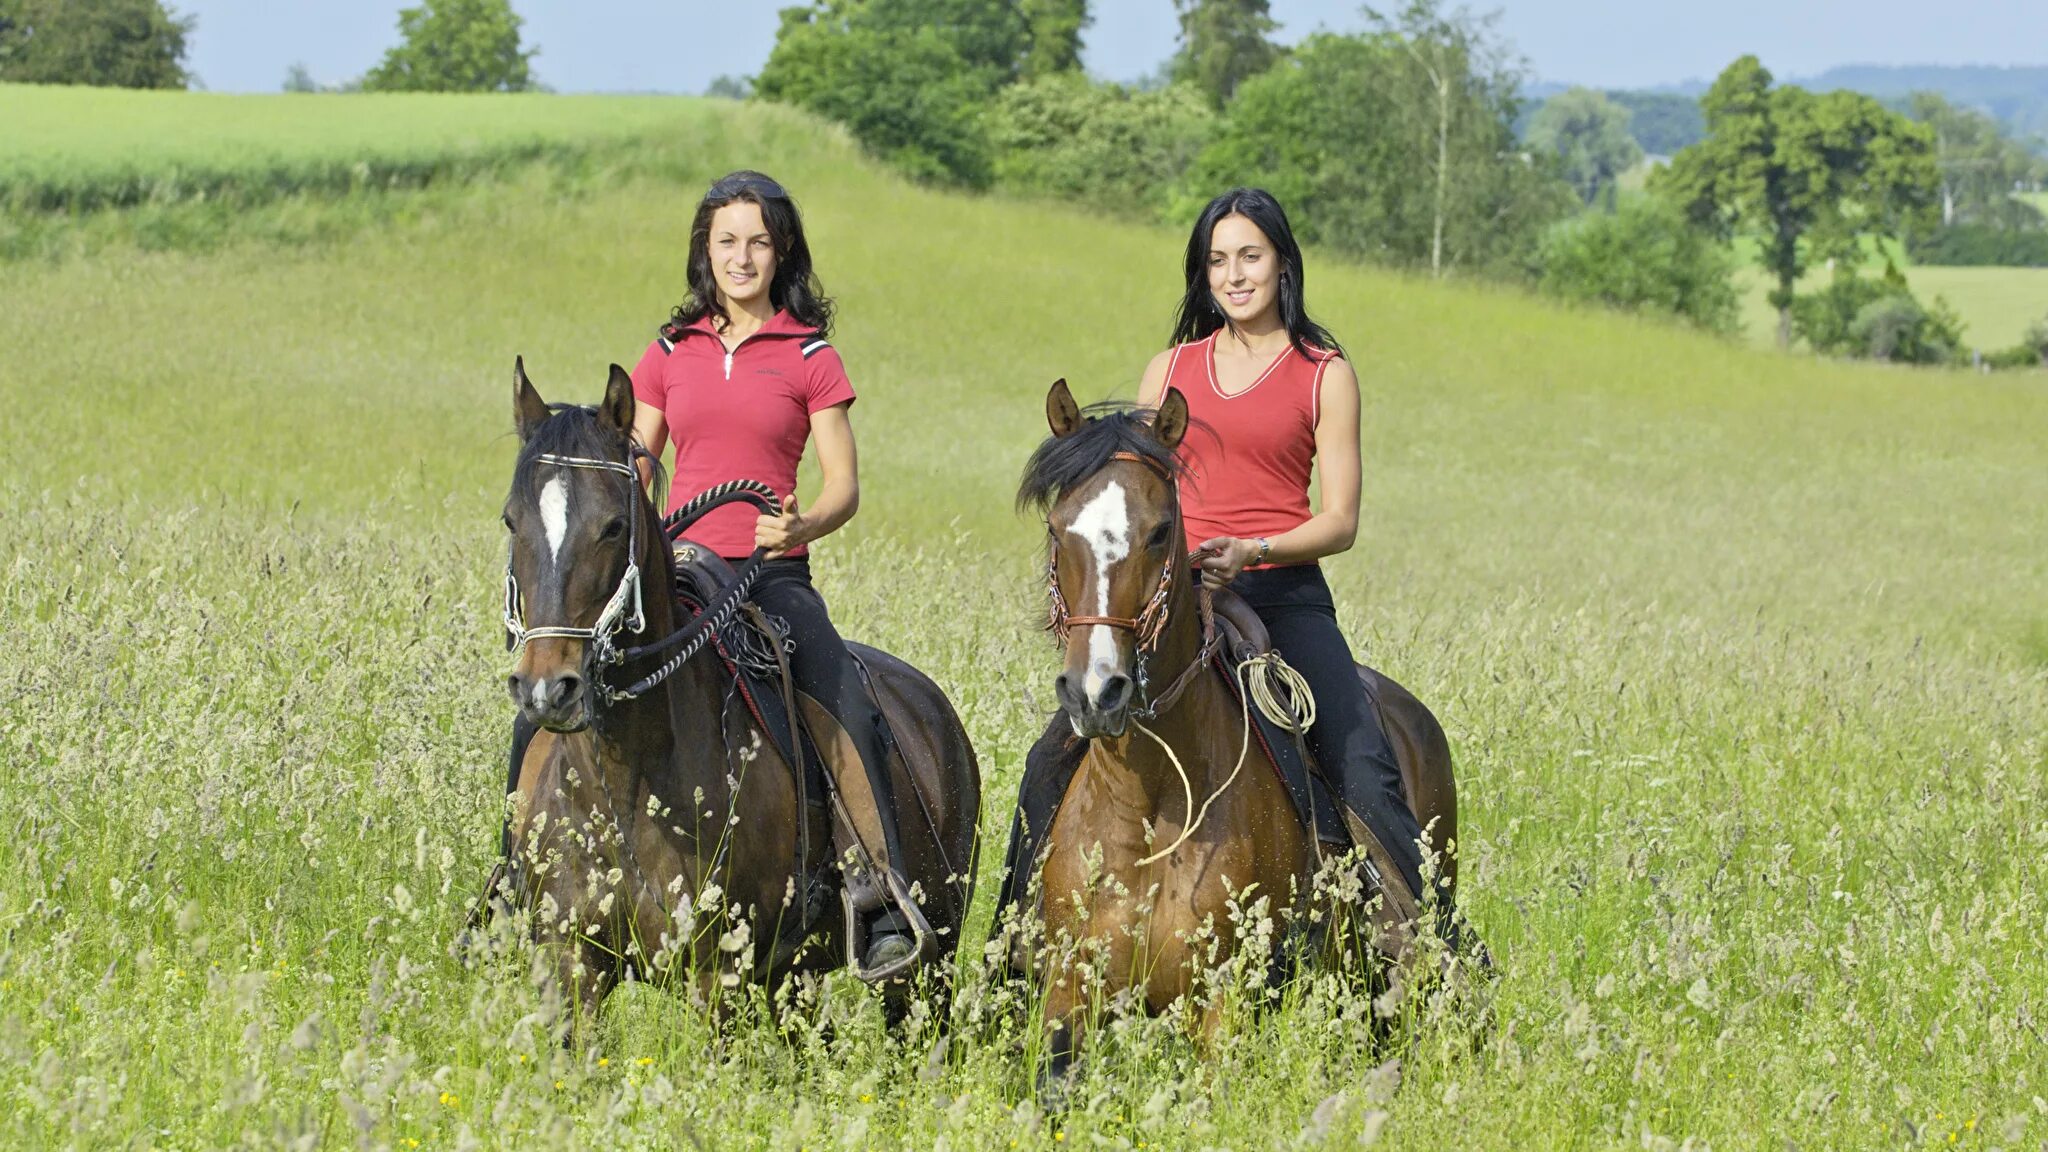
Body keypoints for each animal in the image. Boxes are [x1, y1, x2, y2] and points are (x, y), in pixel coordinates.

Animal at [491, 360, 978, 1033]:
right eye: (512, 520)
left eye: (613, 526)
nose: (546, 689)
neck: (627, 785)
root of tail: (934, 706)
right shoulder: (572, 967)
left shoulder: (716, 973)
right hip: (793, 978)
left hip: (929, 964)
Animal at [1011, 381, 1458, 1082]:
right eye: (1059, 529)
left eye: (1161, 531)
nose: (1096, 692)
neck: (1151, 801)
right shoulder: (1071, 986)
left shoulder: (1224, 1000)